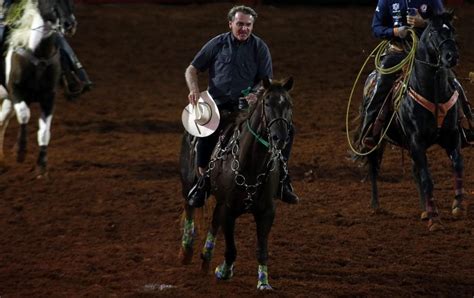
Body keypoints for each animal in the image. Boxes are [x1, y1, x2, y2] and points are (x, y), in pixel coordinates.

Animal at [0, 0, 75, 176]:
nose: (69, 24)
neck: (39, 55)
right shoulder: (16, 91)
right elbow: (24, 115)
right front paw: (20, 152)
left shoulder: (49, 98)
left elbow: (44, 133)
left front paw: (41, 165)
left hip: (7, 101)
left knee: (1, 122)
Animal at [180, 77, 294, 288]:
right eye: (267, 103)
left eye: (289, 104)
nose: (280, 138)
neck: (252, 163)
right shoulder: (229, 209)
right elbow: (231, 248)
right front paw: (224, 271)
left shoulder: (267, 212)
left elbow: (261, 250)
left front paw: (263, 282)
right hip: (188, 181)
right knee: (189, 206)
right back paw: (186, 250)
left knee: (214, 221)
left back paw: (206, 256)